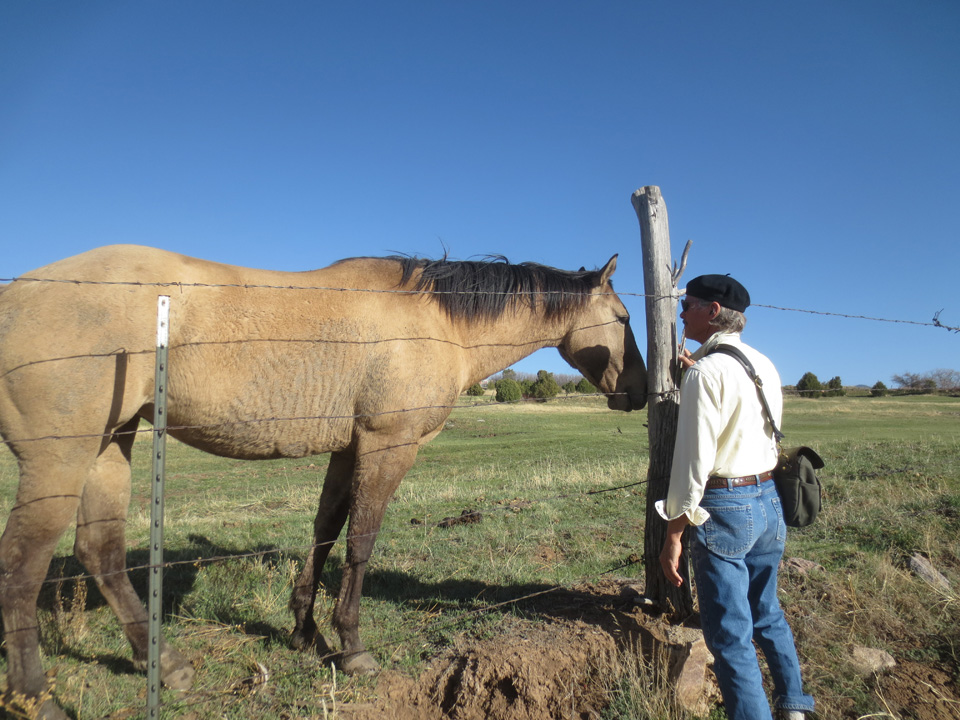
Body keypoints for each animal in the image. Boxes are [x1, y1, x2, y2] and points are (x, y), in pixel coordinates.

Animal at [0, 244, 647, 719]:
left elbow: (325, 530)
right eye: (622, 319)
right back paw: (36, 695)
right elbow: (360, 542)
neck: (435, 321)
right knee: (24, 565)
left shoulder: (346, 449)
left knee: (100, 552)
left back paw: (163, 663)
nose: (640, 390)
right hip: (61, 460)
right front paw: (352, 646)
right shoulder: (387, 446)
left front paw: (304, 630)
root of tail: (15, 294)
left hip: (112, 444)